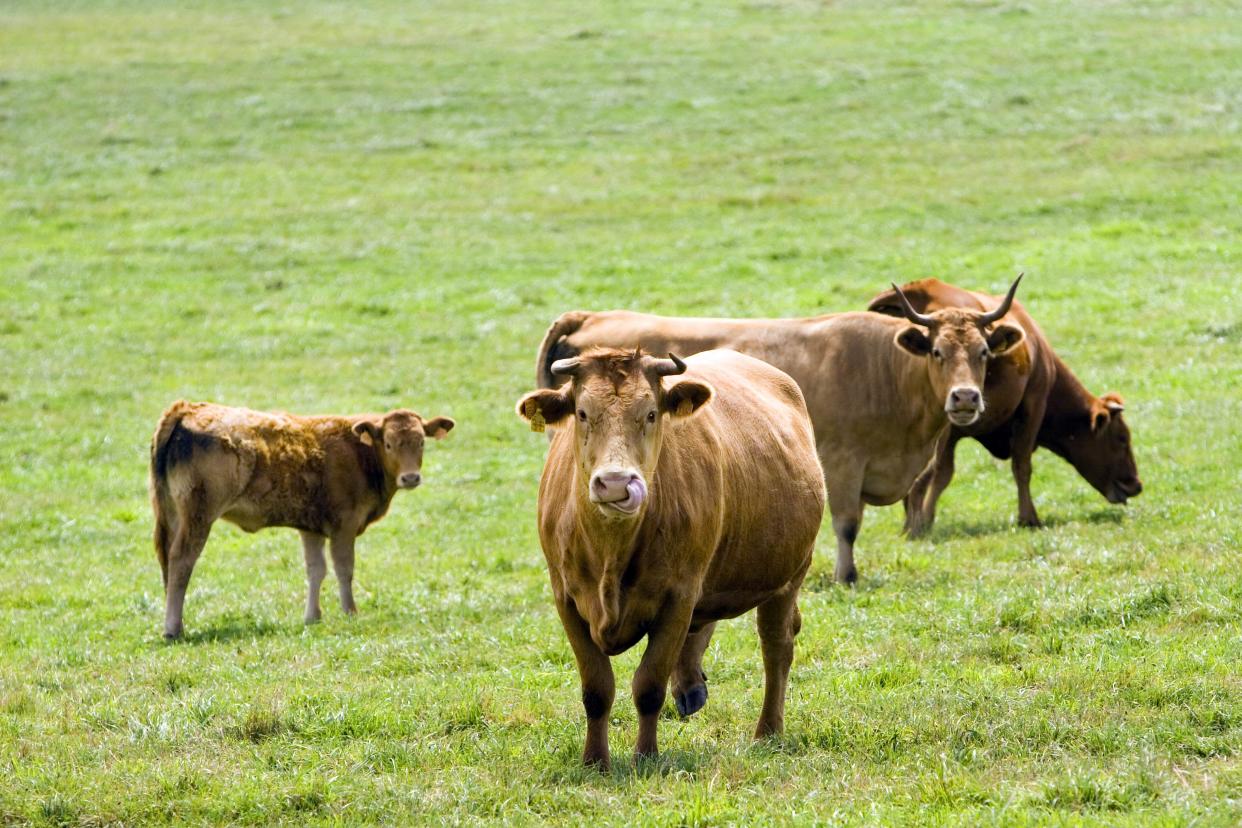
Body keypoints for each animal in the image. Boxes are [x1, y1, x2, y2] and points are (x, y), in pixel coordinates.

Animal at [147, 402, 454, 640]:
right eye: (389, 444)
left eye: (421, 442)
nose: (410, 477)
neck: (359, 453)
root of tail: (187, 409)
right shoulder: (344, 525)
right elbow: (344, 568)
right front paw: (350, 612)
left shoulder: (311, 528)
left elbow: (316, 570)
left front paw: (313, 616)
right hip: (198, 517)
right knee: (181, 561)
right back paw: (173, 629)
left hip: (173, 516)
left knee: (167, 564)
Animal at [514, 347, 824, 769]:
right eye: (581, 413)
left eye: (650, 414)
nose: (615, 484)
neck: (611, 553)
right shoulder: (566, 598)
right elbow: (596, 687)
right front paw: (595, 760)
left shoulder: (679, 596)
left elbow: (649, 684)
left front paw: (646, 756)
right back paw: (691, 689)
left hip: (789, 575)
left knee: (776, 646)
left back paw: (767, 731)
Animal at [534, 280, 1028, 588]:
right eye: (938, 352)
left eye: (984, 353)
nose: (965, 398)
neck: (887, 370)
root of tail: (590, 315)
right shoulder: (843, 461)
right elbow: (847, 524)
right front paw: (845, 576)